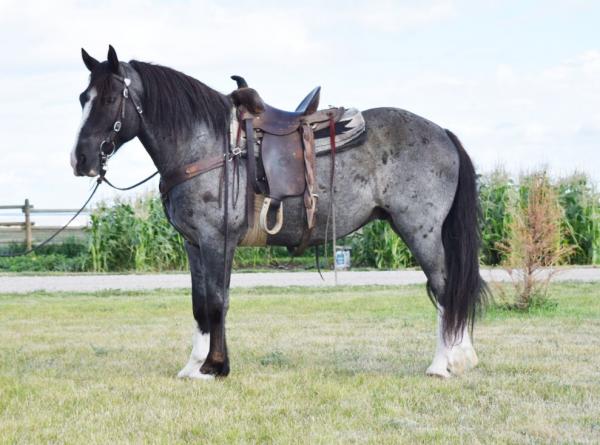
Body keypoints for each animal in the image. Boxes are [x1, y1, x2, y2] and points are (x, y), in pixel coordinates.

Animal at [71, 45, 488, 378]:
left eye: (110, 99)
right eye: (82, 97)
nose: (81, 159)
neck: (208, 145)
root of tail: (443, 133)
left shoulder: (217, 241)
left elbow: (217, 301)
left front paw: (215, 366)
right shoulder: (194, 244)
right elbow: (200, 303)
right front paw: (195, 365)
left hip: (420, 230)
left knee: (444, 287)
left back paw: (445, 364)